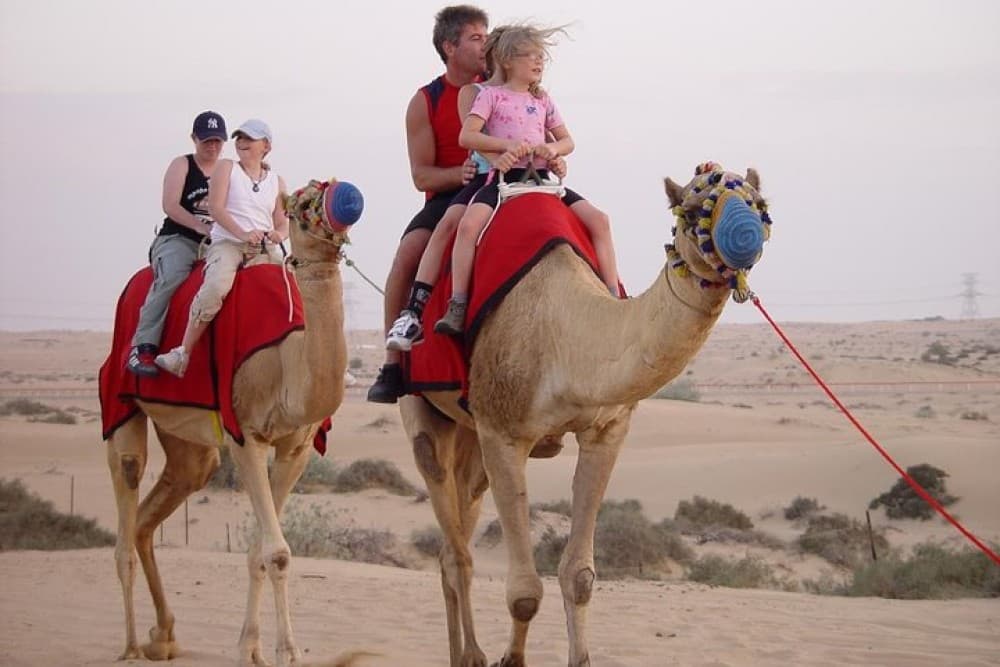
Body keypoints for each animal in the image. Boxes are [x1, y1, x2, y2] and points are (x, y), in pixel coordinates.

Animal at [105, 179, 364, 666]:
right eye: (301, 202)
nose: (348, 199)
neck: (286, 361)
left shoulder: (296, 448)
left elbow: (259, 550)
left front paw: (252, 647)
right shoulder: (247, 434)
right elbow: (276, 552)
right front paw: (287, 651)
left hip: (189, 443)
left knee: (156, 510)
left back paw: (162, 636)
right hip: (120, 401)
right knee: (126, 507)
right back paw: (129, 646)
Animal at [400, 163, 771, 667]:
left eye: (759, 203)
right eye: (694, 209)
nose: (745, 237)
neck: (566, 335)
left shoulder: (606, 430)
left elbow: (579, 577)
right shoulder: (503, 432)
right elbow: (524, 593)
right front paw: (508, 659)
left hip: (469, 438)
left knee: (452, 538)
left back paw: (461, 652)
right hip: (424, 410)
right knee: (456, 547)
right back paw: (472, 655)